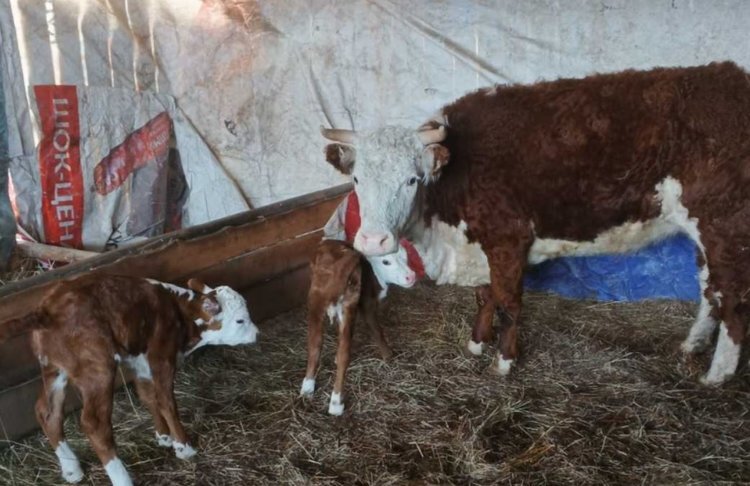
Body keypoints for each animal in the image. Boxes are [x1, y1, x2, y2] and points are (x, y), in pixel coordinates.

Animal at [0, 276, 258, 486]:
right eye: (240, 321)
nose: (257, 334)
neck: (180, 313)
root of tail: (46, 311)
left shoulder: (139, 361)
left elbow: (148, 396)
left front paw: (163, 437)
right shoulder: (161, 356)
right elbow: (167, 402)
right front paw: (183, 447)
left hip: (53, 367)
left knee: (48, 412)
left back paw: (72, 469)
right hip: (97, 368)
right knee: (94, 423)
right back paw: (122, 478)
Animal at [322, 61, 750, 384]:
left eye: (412, 179)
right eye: (357, 179)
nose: (373, 241)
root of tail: (730, 76)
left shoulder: (508, 238)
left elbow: (509, 302)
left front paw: (503, 362)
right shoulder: (481, 244)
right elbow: (486, 295)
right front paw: (477, 343)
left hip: (723, 224)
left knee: (731, 298)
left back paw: (716, 375)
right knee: (709, 289)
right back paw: (692, 345)